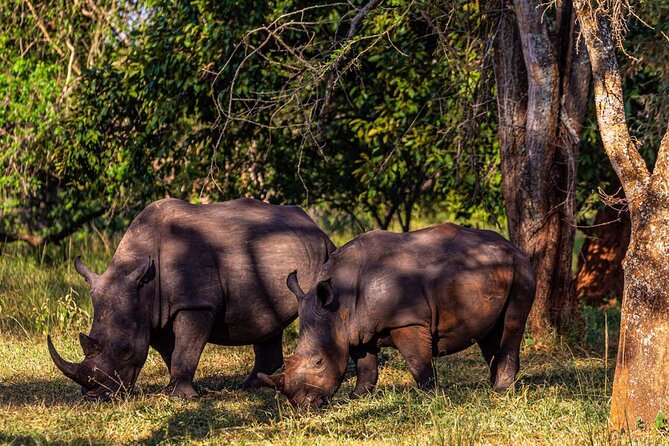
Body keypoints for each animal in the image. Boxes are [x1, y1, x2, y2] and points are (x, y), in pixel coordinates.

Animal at [48, 198, 335, 400]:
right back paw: (249, 386)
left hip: (322, 255)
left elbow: (186, 347)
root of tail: (317, 228)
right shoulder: (152, 312)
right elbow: (171, 350)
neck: (144, 283)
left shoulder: (195, 304)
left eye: (125, 350)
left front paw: (179, 396)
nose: (95, 397)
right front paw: (173, 389)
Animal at [258, 223, 535, 408]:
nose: (302, 405)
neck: (339, 305)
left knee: (511, 325)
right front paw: (356, 399)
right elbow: (366, 367)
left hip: (520, 268)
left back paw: (501, 391)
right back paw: (493, 387)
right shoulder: (355, 329)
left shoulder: (407, 321)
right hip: (492, 272)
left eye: (318, 362)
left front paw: (433, 398)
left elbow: (417, 362)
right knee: (489, 334)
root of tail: (512, 247)